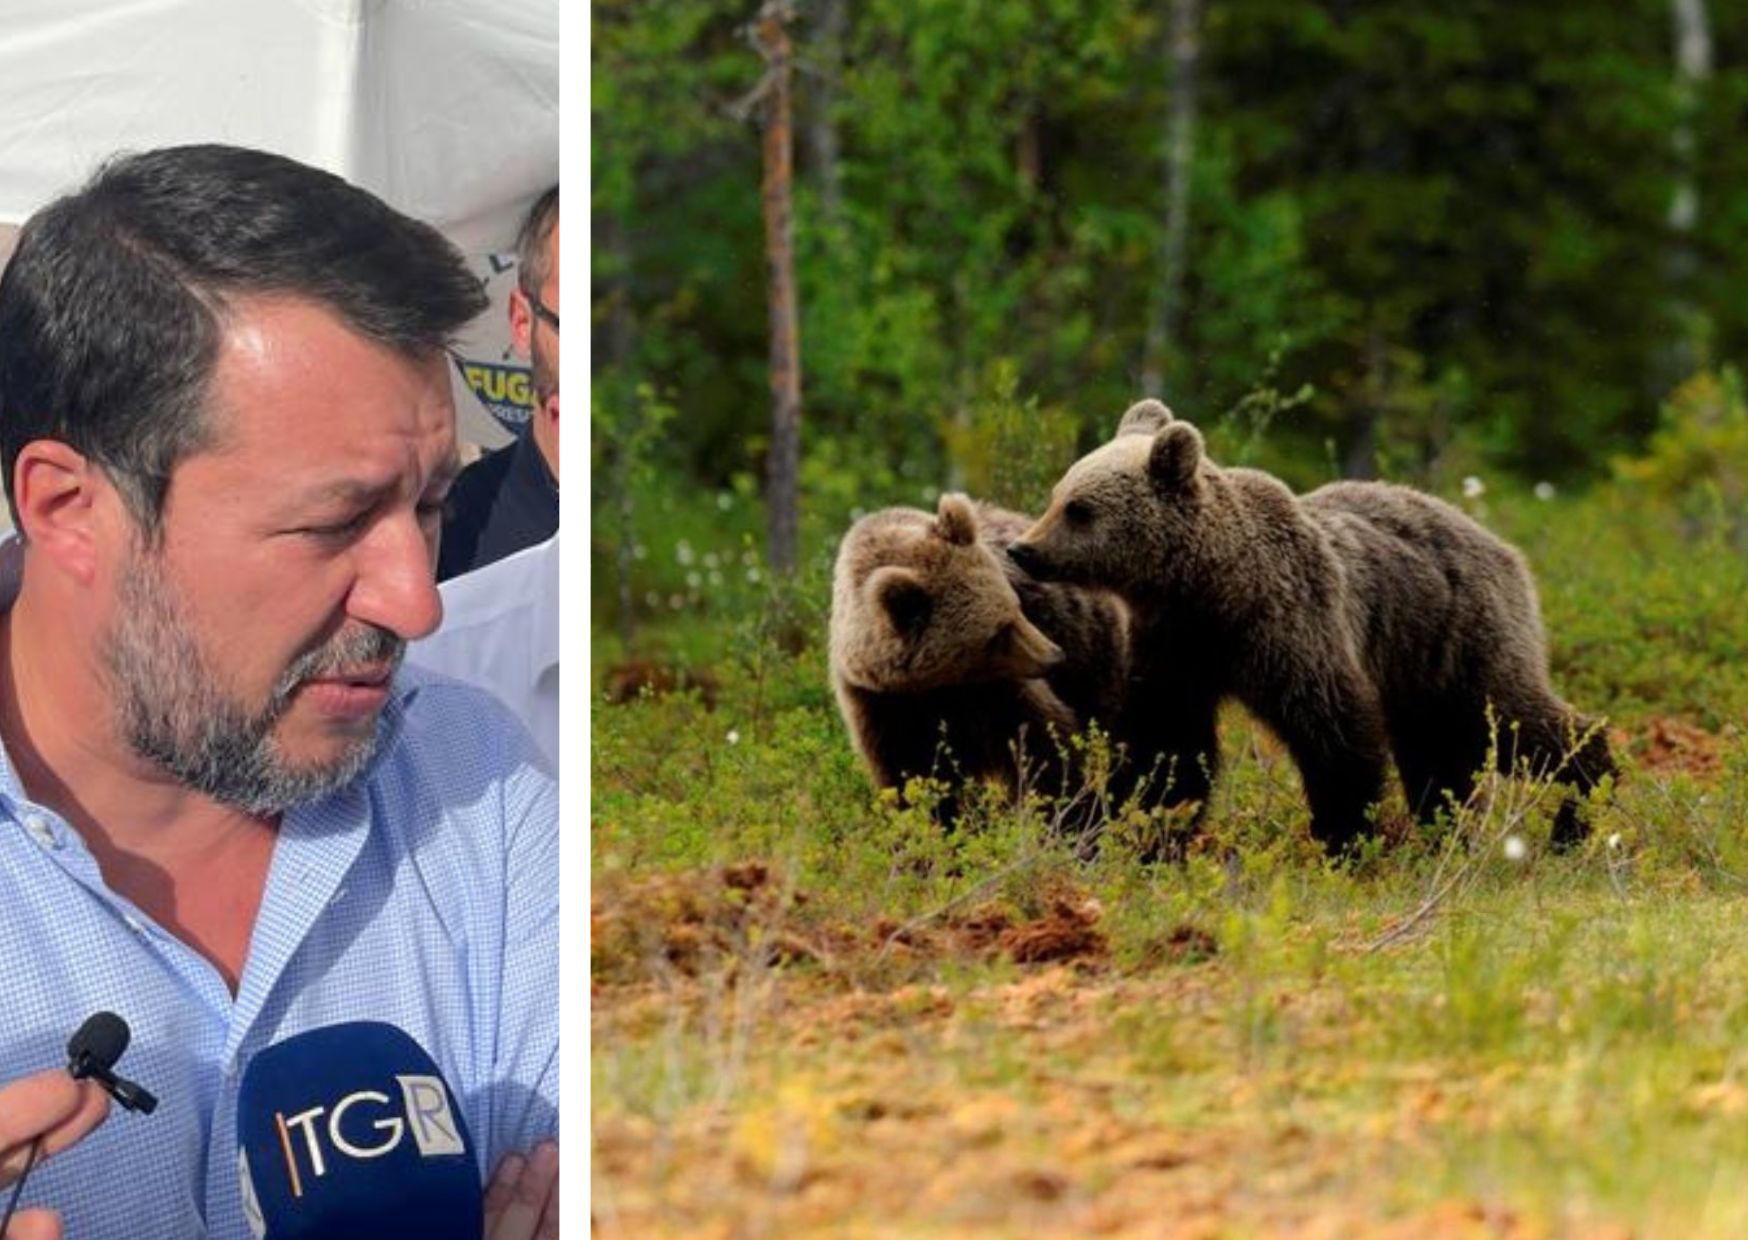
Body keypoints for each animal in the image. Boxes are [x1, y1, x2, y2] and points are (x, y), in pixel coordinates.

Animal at [830, 492, 1138, 826]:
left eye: (1017, 606)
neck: (934, 686)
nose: (1055, 657)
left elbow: (1041, 741)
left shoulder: (995, 690)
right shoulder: (879, 704)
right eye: (997, 633)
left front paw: (1068, 812)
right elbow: (908, 774)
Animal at [1007, 398, 1616, 853]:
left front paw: (1343, 837)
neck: (1210, 587)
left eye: (1079, 510)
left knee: (1509, 718)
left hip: (1461, 636)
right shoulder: (1175, 648)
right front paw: (1140, 826)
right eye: (1058, 495)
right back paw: (1448, 829)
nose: (1023, 550)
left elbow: (1334, 728)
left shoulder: (1289, 626)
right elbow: (1170, 745)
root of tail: (1503, 546)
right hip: (1421, 666)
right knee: (1439, 757)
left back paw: (1582, 803)